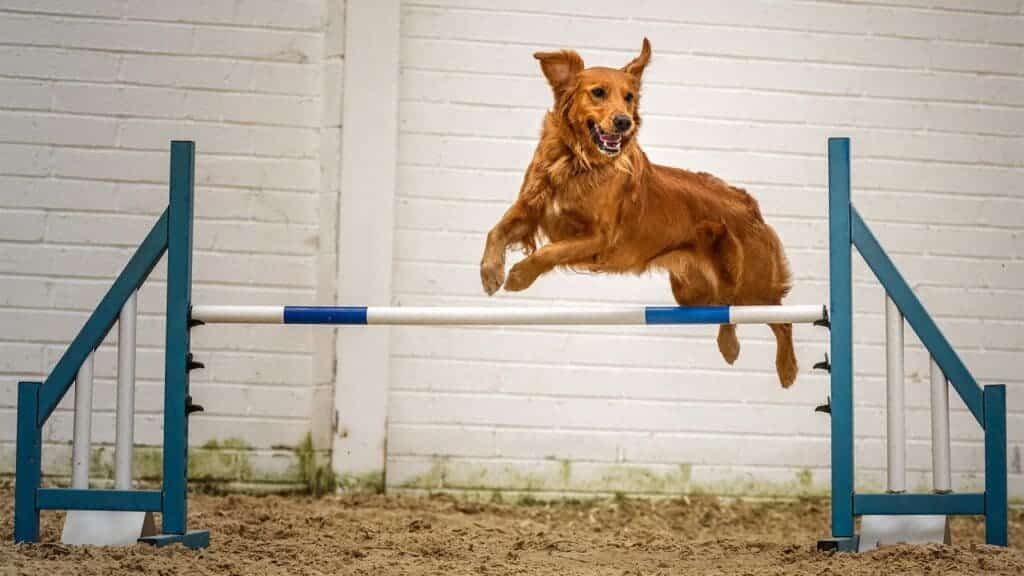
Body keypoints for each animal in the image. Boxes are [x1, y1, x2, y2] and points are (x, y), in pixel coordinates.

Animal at [479, 35, 798, 385]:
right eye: (598, 92)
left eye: (629, 97)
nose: (624, 121)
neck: (577, 161)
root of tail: (747, 202)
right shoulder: (530, 210)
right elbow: (496, 231)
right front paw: (490, 273)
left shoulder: (599, 238)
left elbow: (548, 252)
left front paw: (519, 276)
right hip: (692, 294)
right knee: (726, 311)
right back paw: (729, 345)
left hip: (753, 285)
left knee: (782, 319)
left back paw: (787, 368)